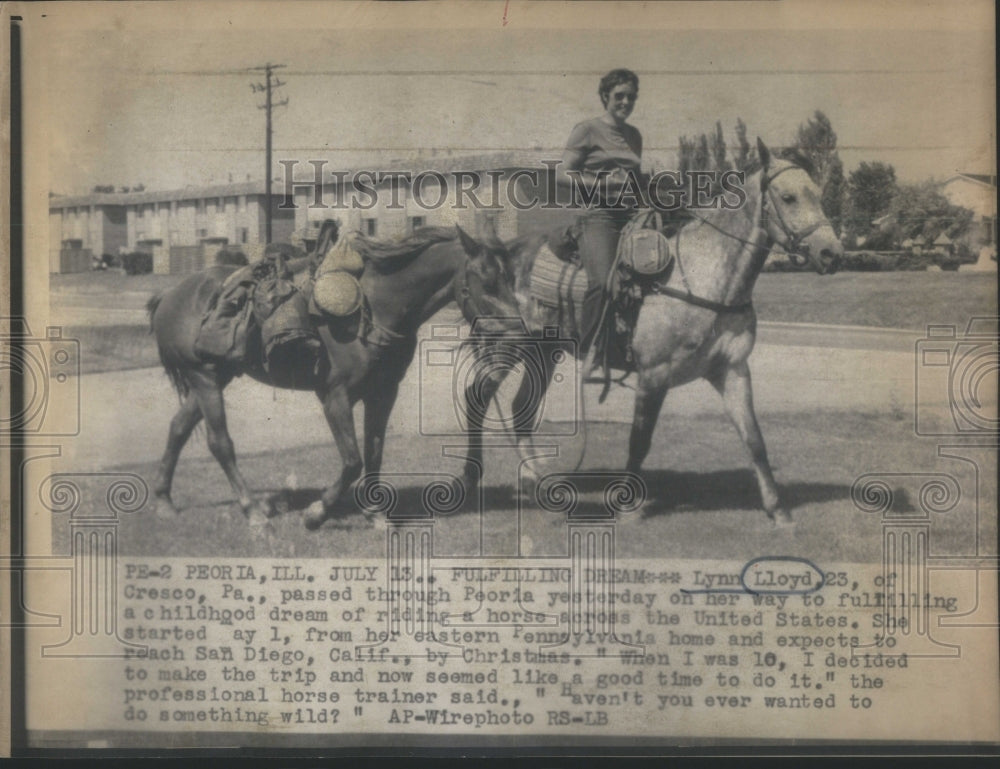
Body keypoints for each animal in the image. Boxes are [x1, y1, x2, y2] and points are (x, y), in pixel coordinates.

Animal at [149, 222, 524, 528]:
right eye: (487, 281)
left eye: (511, 278)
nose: (518, 333)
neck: (374, 306)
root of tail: (170, 294)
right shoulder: (335, 397)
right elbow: (352, 460)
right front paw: (316, 513)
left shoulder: (383, 393)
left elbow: (374, 452)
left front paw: (376, 514)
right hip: (204, 378)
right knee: (219, 443)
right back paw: (253, 510)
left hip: (215, 377)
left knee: (179, 427)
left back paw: (164, 500)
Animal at [458, 140, 840, 520]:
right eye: (788, 197)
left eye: (819, 194)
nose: (831, 252)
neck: (701, 279)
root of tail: (487, 258)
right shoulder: (654, 374)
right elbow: (639, 441)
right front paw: (628, 506)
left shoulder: (732, 369)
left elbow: (755, 441)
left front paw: (778, 511)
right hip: (504, 345)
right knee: (476, 397)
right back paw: (470, 477)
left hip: (543, 352)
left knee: (520, 407)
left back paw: (534, 480)